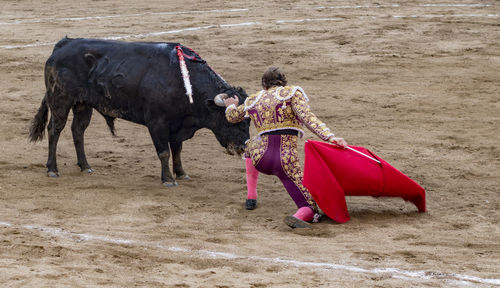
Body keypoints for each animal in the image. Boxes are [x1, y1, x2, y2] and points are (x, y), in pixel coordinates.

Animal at [29, 37, 250, 187]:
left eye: (248, 121)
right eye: (229, 120)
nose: (242, 147)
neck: (183, 82)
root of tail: (64, 43)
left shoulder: (177, 124)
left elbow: (177, 150)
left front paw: (181, 173)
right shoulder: (157, 122)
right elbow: (164, 152)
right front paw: (168, 179)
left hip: (83, 104)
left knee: (78, 130)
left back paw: (85, 166)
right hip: (60, 100)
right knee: (54, 130)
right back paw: (52, 169)